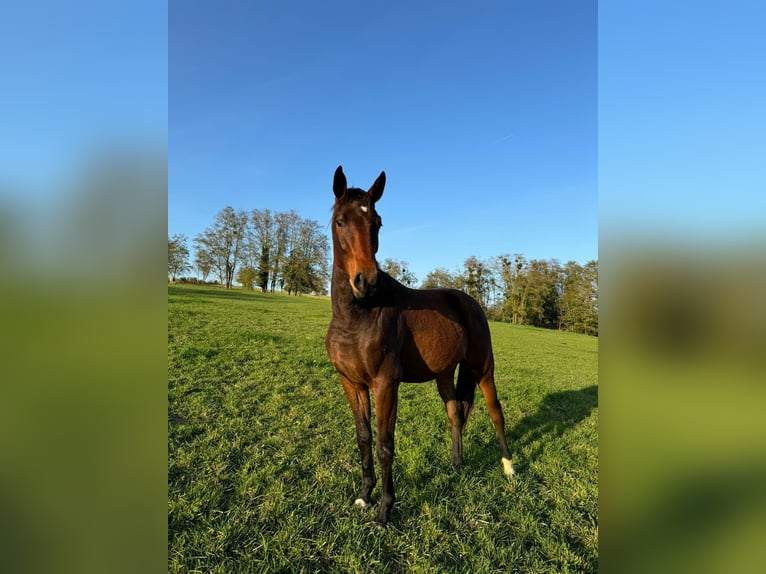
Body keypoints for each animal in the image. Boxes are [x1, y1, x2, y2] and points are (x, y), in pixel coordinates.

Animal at [324, 165, 516, 528]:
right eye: (340, 221)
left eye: (377, 222)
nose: (366, 282)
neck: (358, 315)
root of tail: (470, 301)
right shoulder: (351, 383)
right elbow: (364, 438)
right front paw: (364, 496)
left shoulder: (386, 384)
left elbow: (385, 444)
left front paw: (384, 511)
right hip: (444, 374)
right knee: (455, 413)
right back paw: (456, 466)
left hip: (483, 369)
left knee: (496, 413)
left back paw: (509, 468)